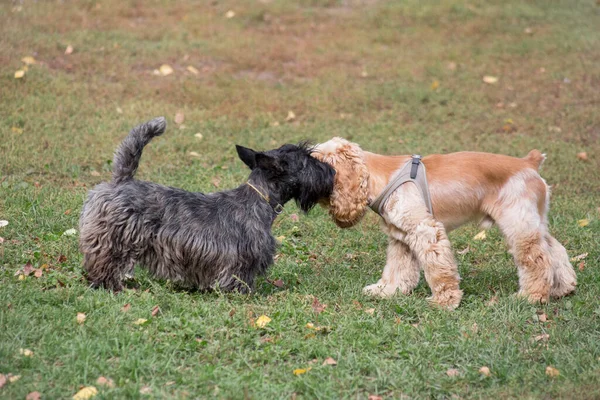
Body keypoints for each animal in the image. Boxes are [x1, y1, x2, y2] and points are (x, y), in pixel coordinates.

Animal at [77, 117, 336, 292]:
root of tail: (121, 181)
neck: (257, 201)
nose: (332, 172)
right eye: (307, 159)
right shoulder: (240, 260)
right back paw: (109, 284)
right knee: (105, 261)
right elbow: (238, 279)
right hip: (114, 238)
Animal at [312, 138, 576, 310]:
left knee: (537, 260)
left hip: (518, 225)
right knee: (555, 250)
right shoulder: (401, 237)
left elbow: (438, 269)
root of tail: (529, 163)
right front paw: (387, 291)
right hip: (534, 222)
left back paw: (532, 296)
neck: (380, 177)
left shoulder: (426, 231)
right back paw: (563, 288)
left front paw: (444, 301)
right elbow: (397, 268)